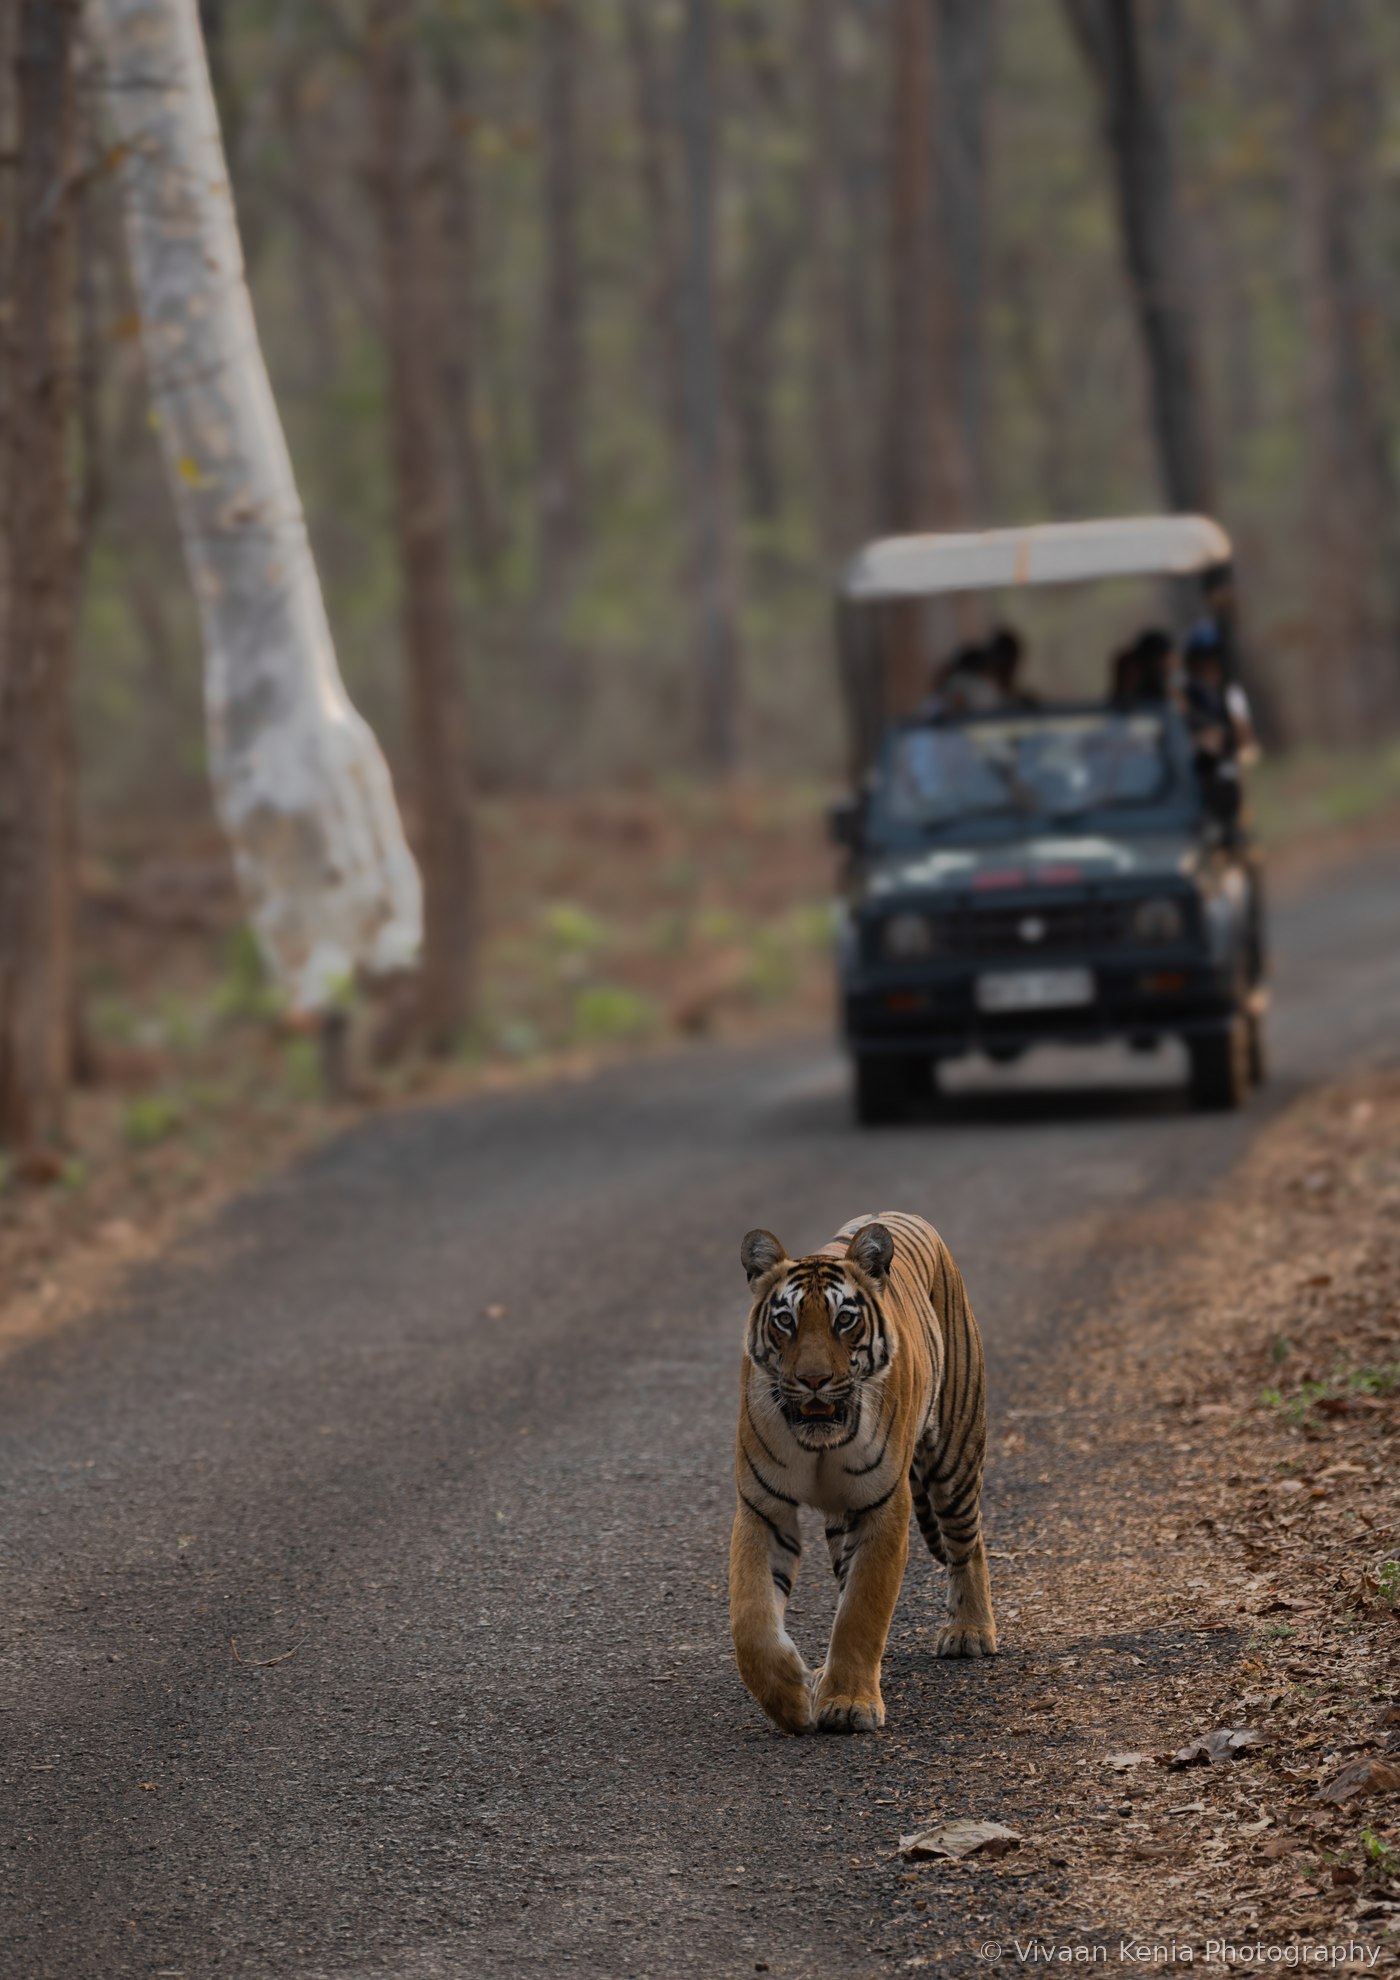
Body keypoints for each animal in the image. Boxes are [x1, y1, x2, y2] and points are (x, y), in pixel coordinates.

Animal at [729, 1209, 996, 1735]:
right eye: (786, 1321)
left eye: (844, 1320)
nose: (813, 1380)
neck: (820, 1445)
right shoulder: (762, 1507)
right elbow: (751, 1618)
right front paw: (791, 1698)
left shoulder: (883, 1507)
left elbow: (860, 1611)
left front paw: (848, 1704)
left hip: (953, 1459)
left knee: (968, 1543)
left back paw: (969, 1631)